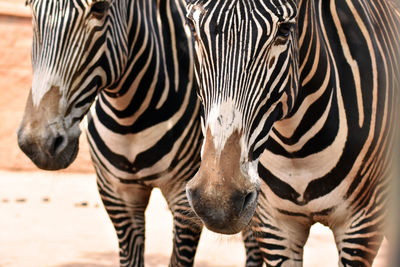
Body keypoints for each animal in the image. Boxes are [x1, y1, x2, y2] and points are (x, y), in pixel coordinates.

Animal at [184, 0, 400, 266]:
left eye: (285, 30)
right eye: (192, 26)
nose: (216, 201)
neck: (295, 146)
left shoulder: (363, 224)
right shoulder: (275, 227)